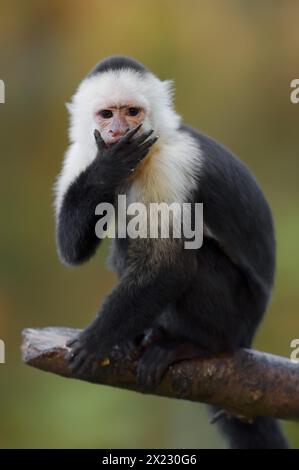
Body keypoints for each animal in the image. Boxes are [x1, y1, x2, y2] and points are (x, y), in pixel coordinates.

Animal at [55, 55, 290, 448]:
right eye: (106, 114)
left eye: (132, 112)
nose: (117, 130)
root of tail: (250, 331)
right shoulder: (80, 155)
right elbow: (71, 249)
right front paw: (108, 167)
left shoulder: (172, 165)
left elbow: (171, 268)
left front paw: (96, 339)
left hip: (238, 318)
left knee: (193, 259)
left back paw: (196, 344)